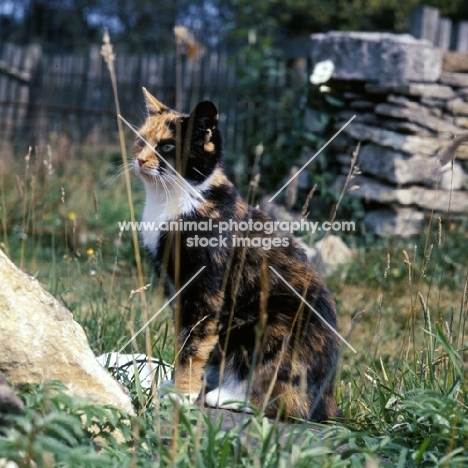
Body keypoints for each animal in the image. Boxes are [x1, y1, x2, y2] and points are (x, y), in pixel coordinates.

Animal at [133, 88, 342, 420]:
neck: (172, 200)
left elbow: (193, 344)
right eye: (141, 140)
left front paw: (183, 394)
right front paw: (180, 386)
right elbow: (183, 340)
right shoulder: (176, 291)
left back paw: (229, 397)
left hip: (272, 319)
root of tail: (328, 401)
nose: (139, 159)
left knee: (287, 402)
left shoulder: (204, 290)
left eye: (167, 147)